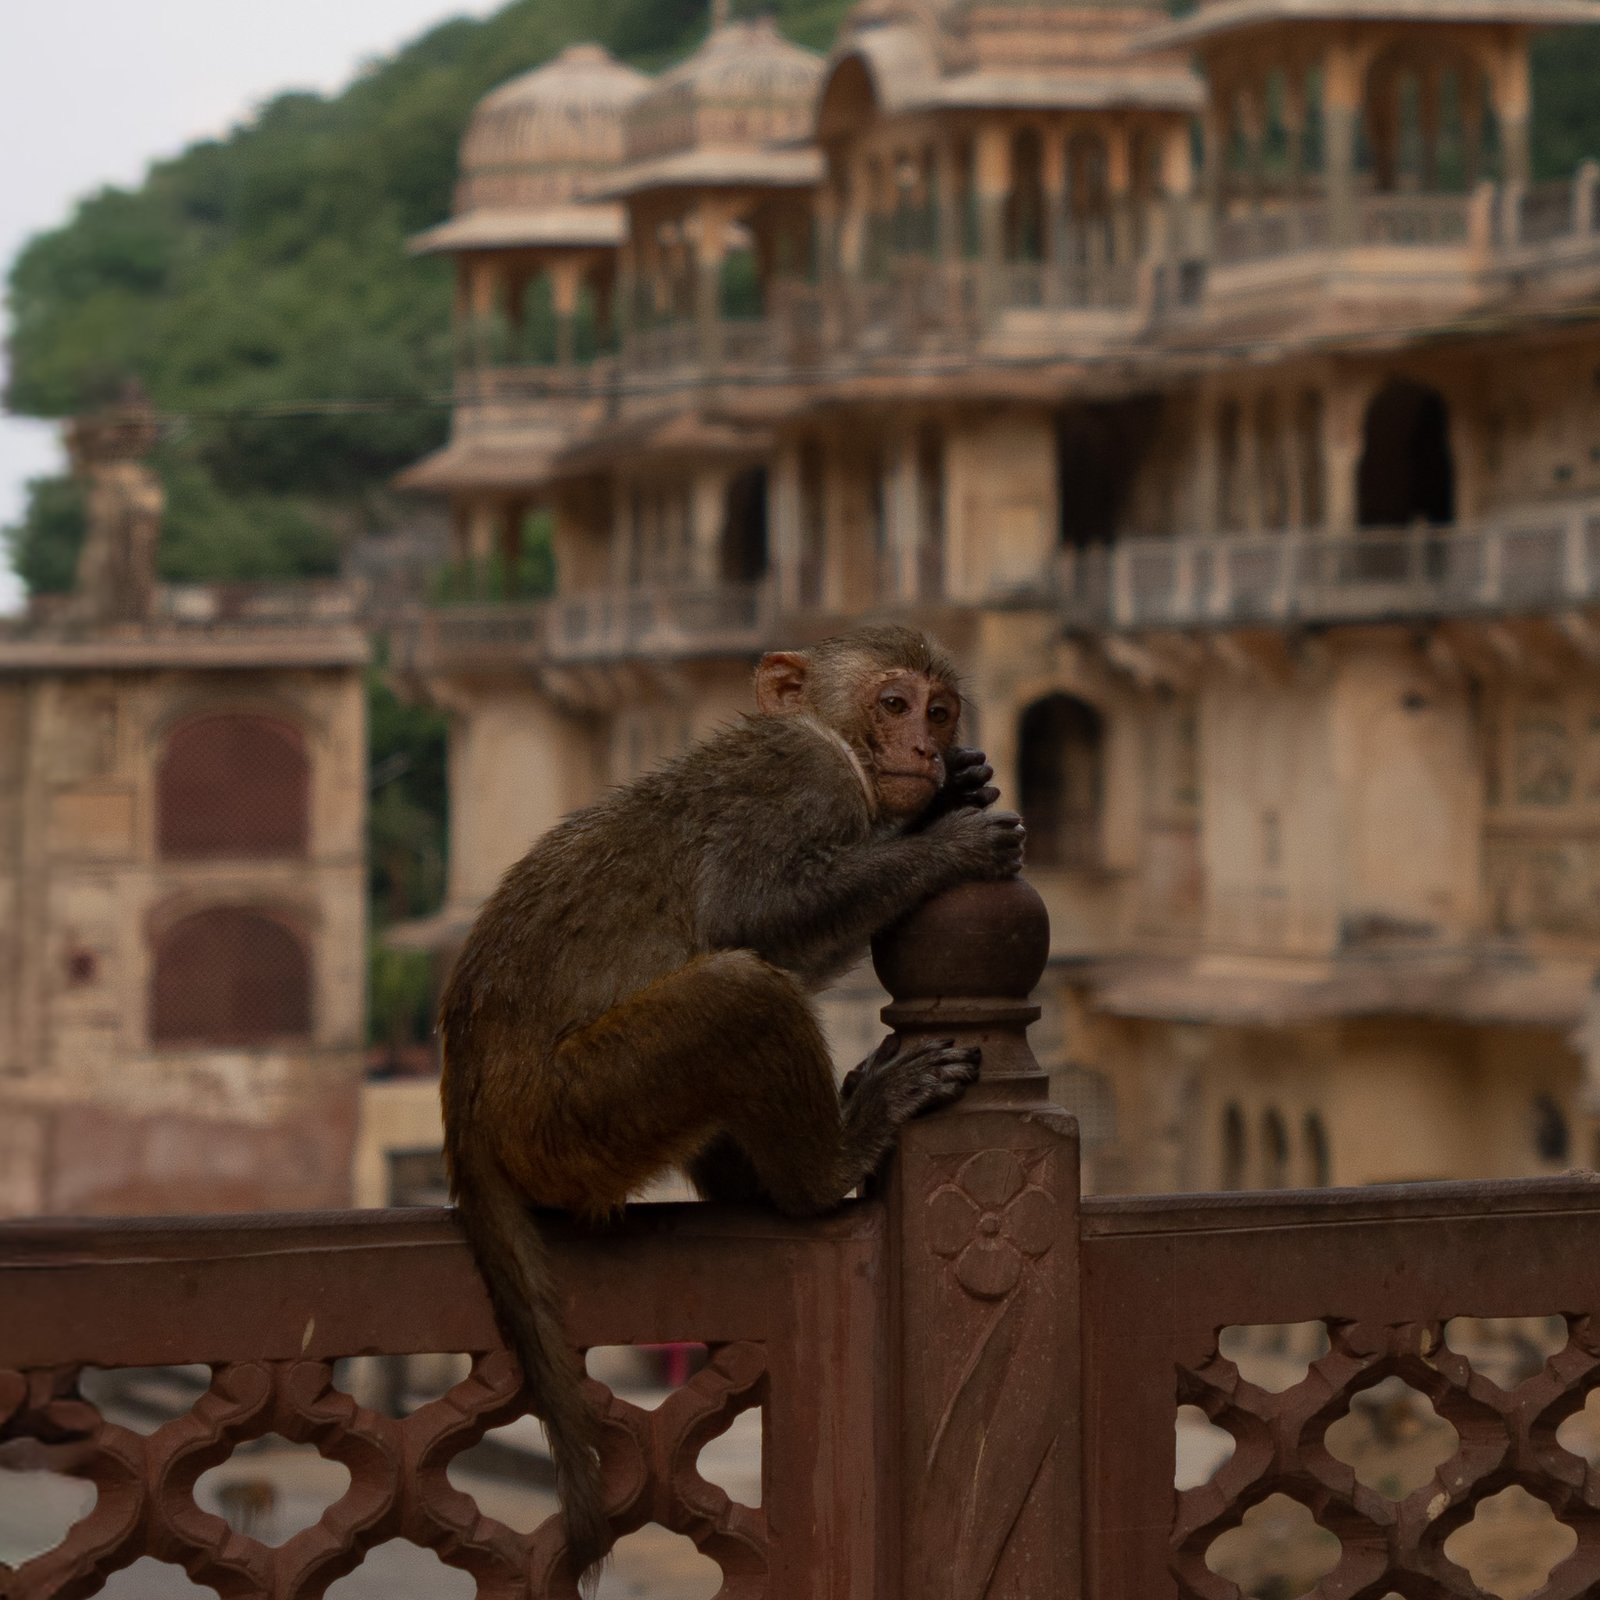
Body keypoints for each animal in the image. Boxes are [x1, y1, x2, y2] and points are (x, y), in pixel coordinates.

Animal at [437, 623, 1025, 1589]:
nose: (926, 747)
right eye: (894, 703)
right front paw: (946, 837)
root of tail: (465, 1101)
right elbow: (750, 917)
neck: (834, 741)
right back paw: (828, 1167)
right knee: (741, 990)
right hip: (577, 1112)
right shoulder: (801, 781)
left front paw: (953, 792)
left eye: (940, 710)